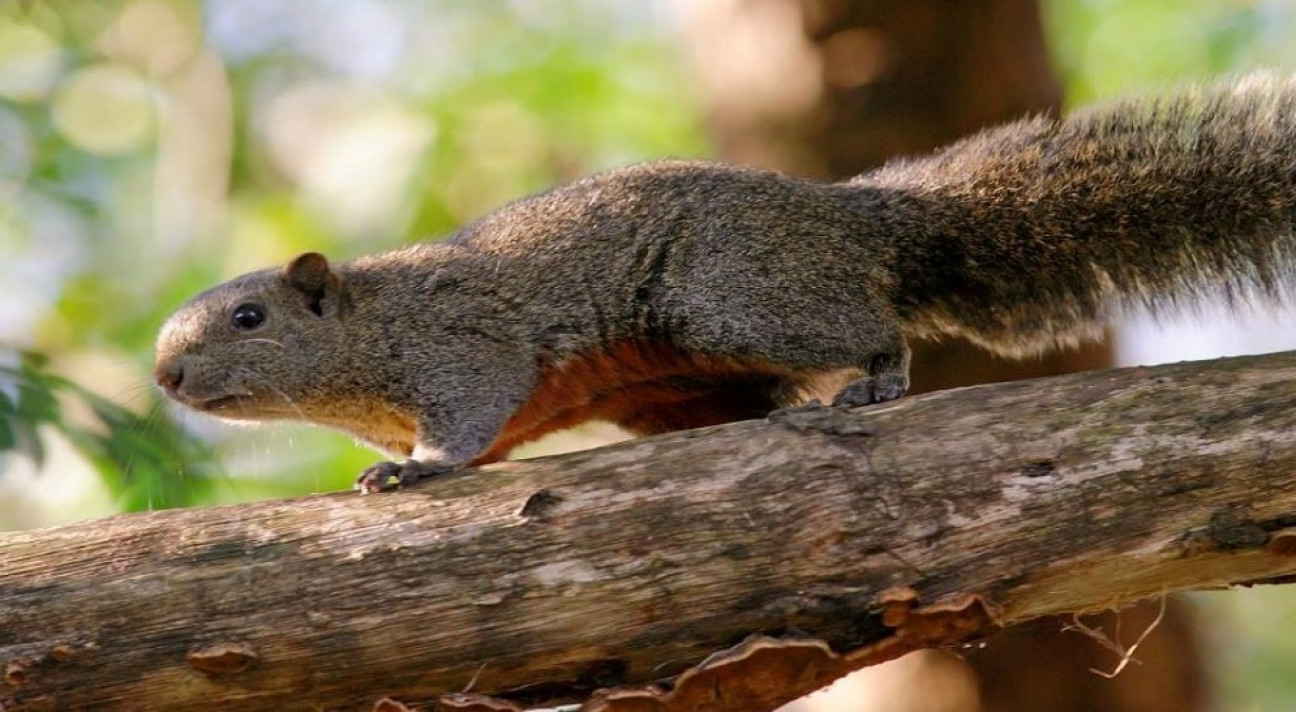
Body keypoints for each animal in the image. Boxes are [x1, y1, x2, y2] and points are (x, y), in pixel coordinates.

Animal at [155, 73, 1296, 493]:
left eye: (249, 316)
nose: (164, 378)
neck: (362, 343)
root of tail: (849, 216)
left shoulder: (460, 347)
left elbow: (470, 415)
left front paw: (417, 472)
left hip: (733, 299)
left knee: (871, 325)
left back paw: (876, 380)